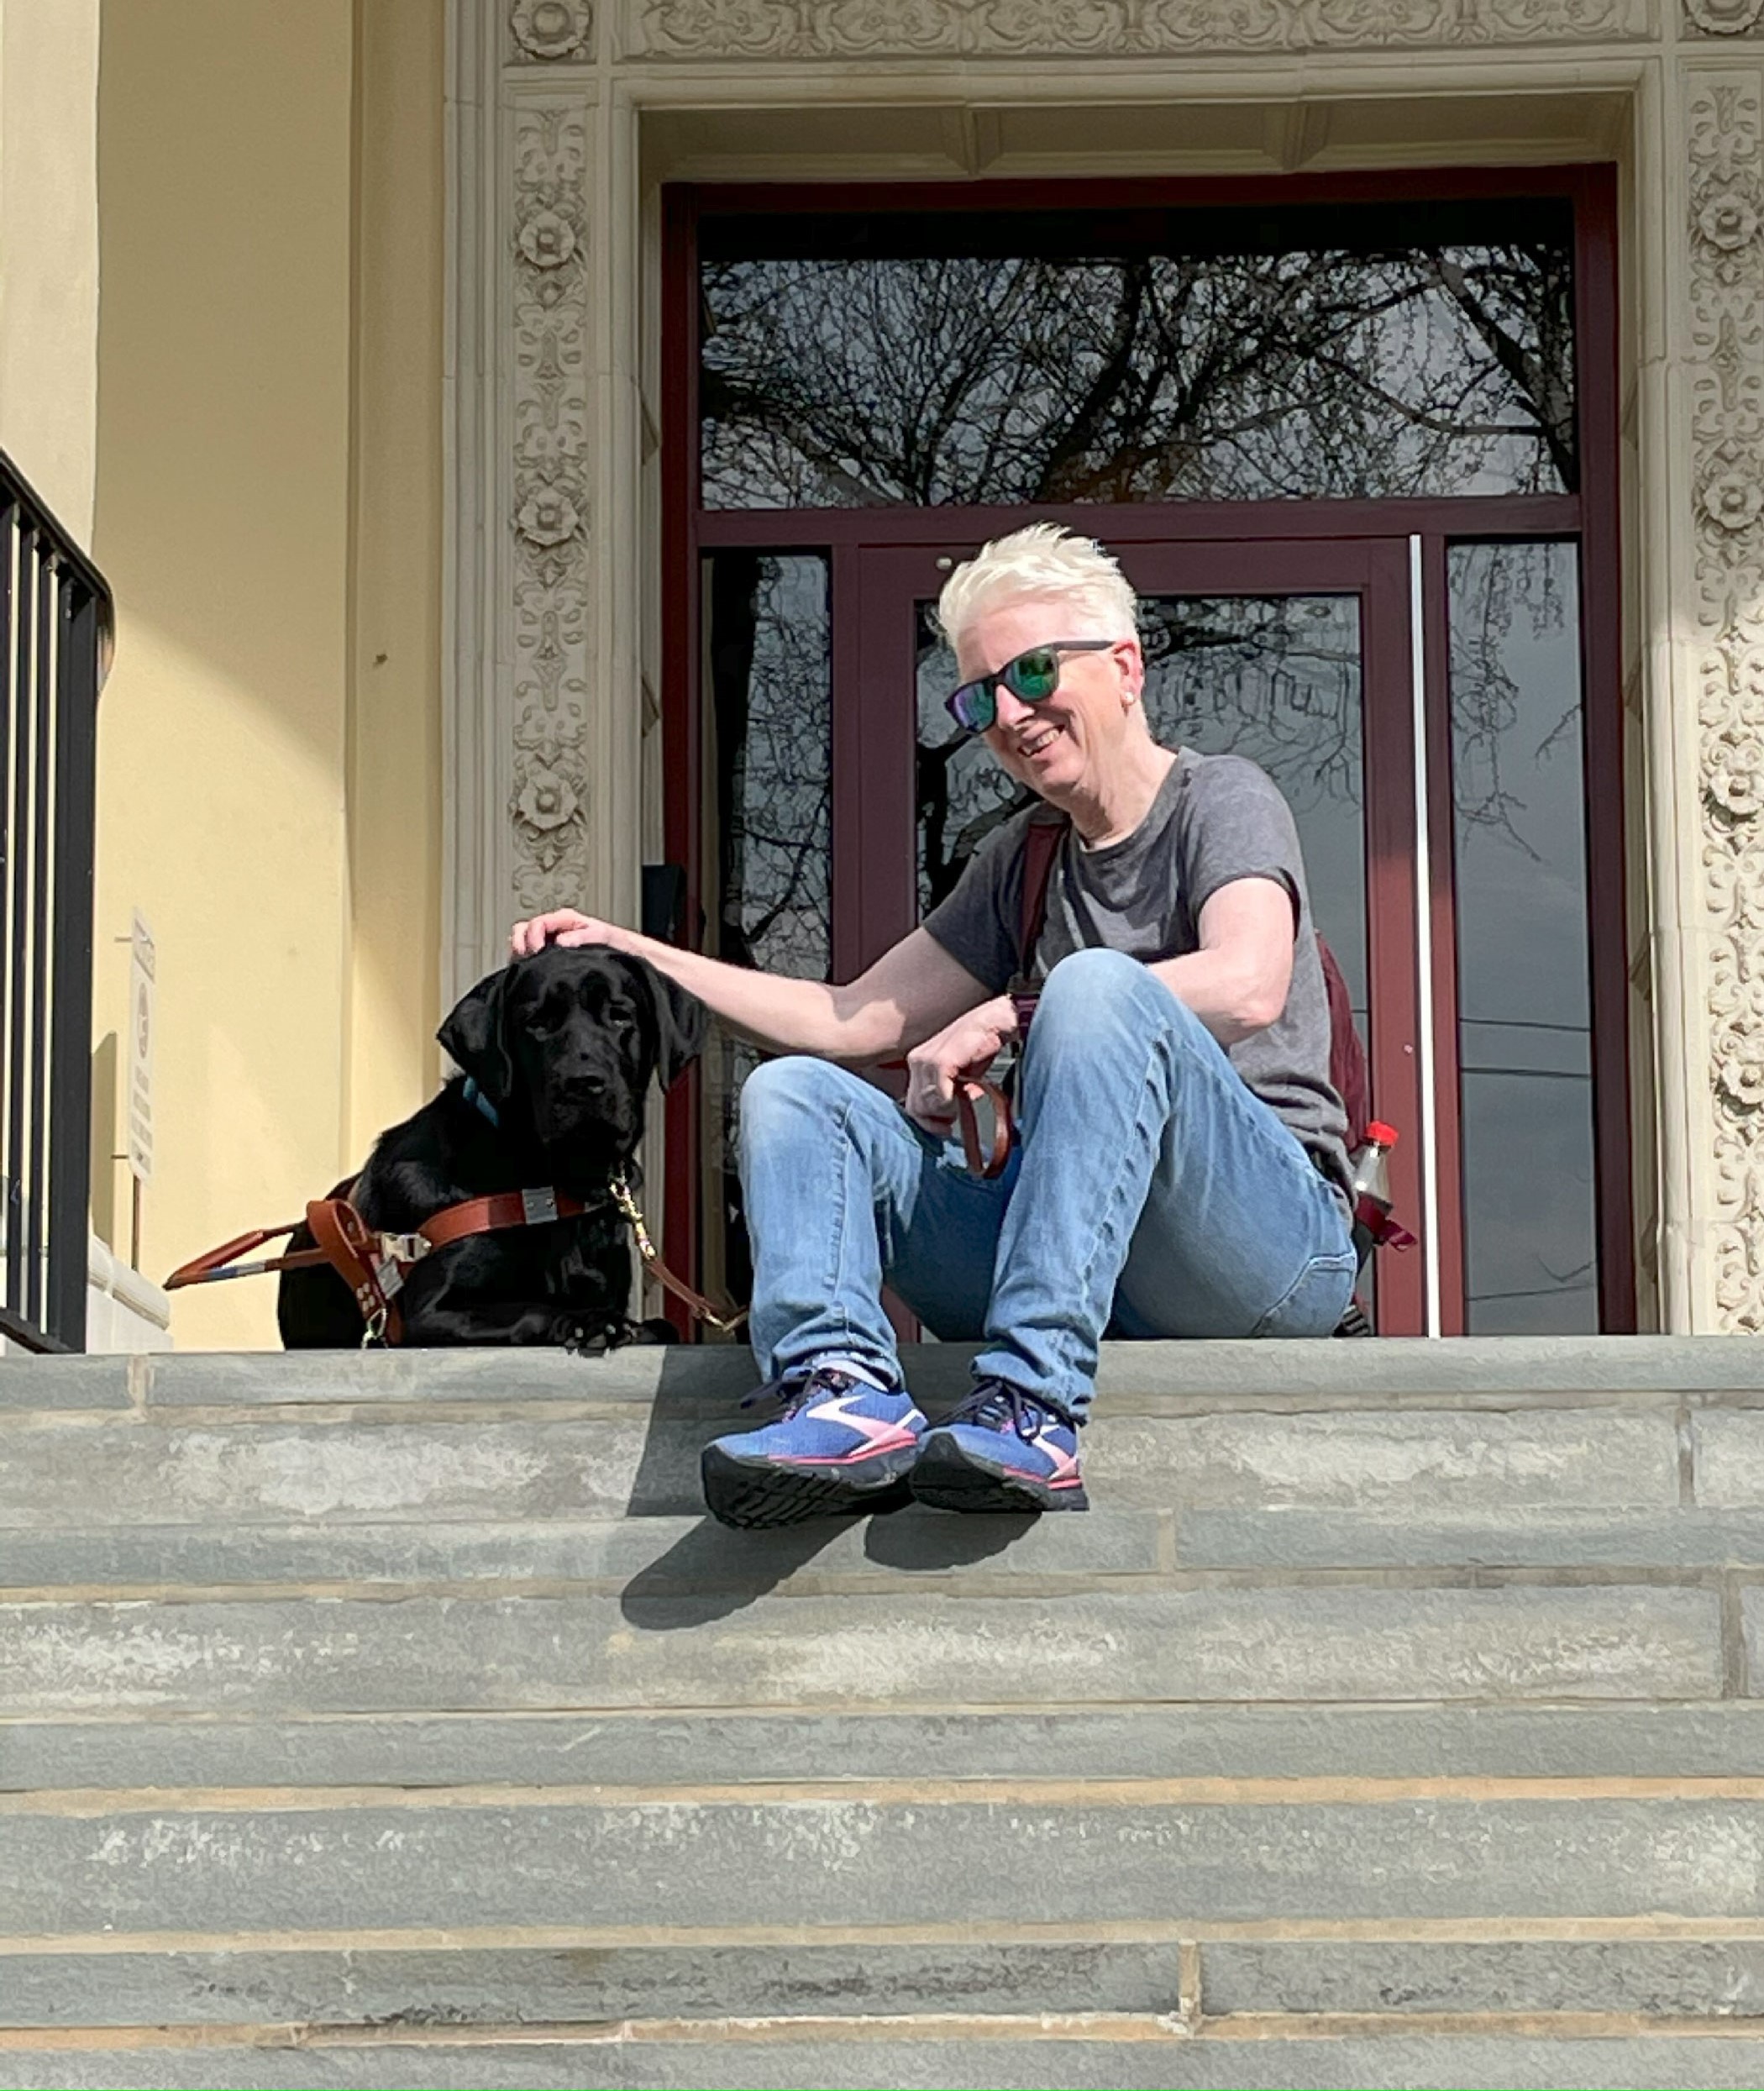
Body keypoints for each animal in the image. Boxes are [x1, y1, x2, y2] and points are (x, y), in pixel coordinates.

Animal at [280, 949, 706, 1354]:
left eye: (620, 1016)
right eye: (536, 1023)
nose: (583, 1083)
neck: (552, 1184)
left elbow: (665, 1326)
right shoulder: (431, 1312)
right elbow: (533, 1308)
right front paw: (591, 1322)